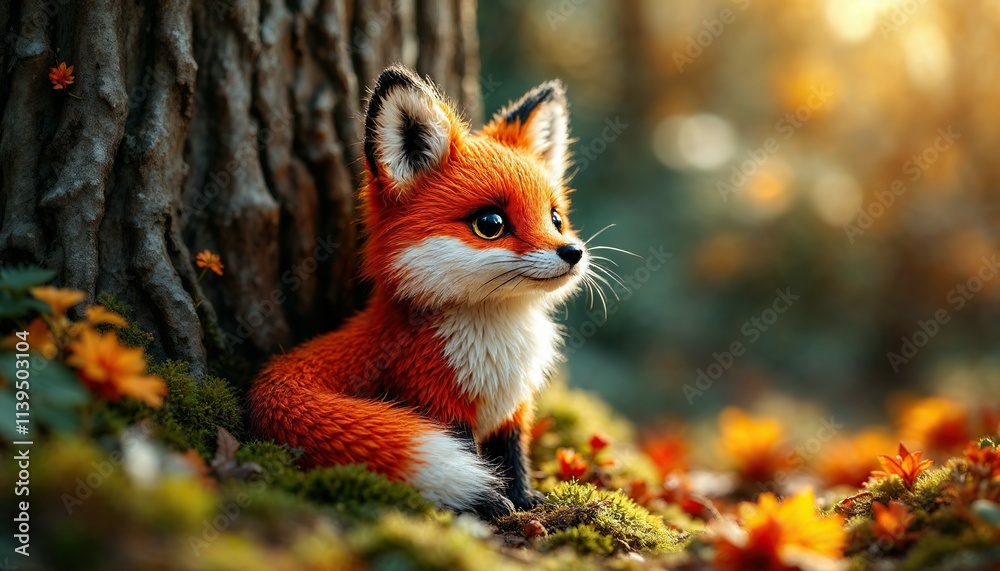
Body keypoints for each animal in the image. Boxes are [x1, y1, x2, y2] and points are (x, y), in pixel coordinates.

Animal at [248, 65, 592, 519]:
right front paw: (492, 503)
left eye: (555, 218)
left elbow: (513, 459)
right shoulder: (436, 399)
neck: (497, 350)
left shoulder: (514, 412)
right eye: (490, 223)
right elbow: (474, 460)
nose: (573, 252)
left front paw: (525, 499)